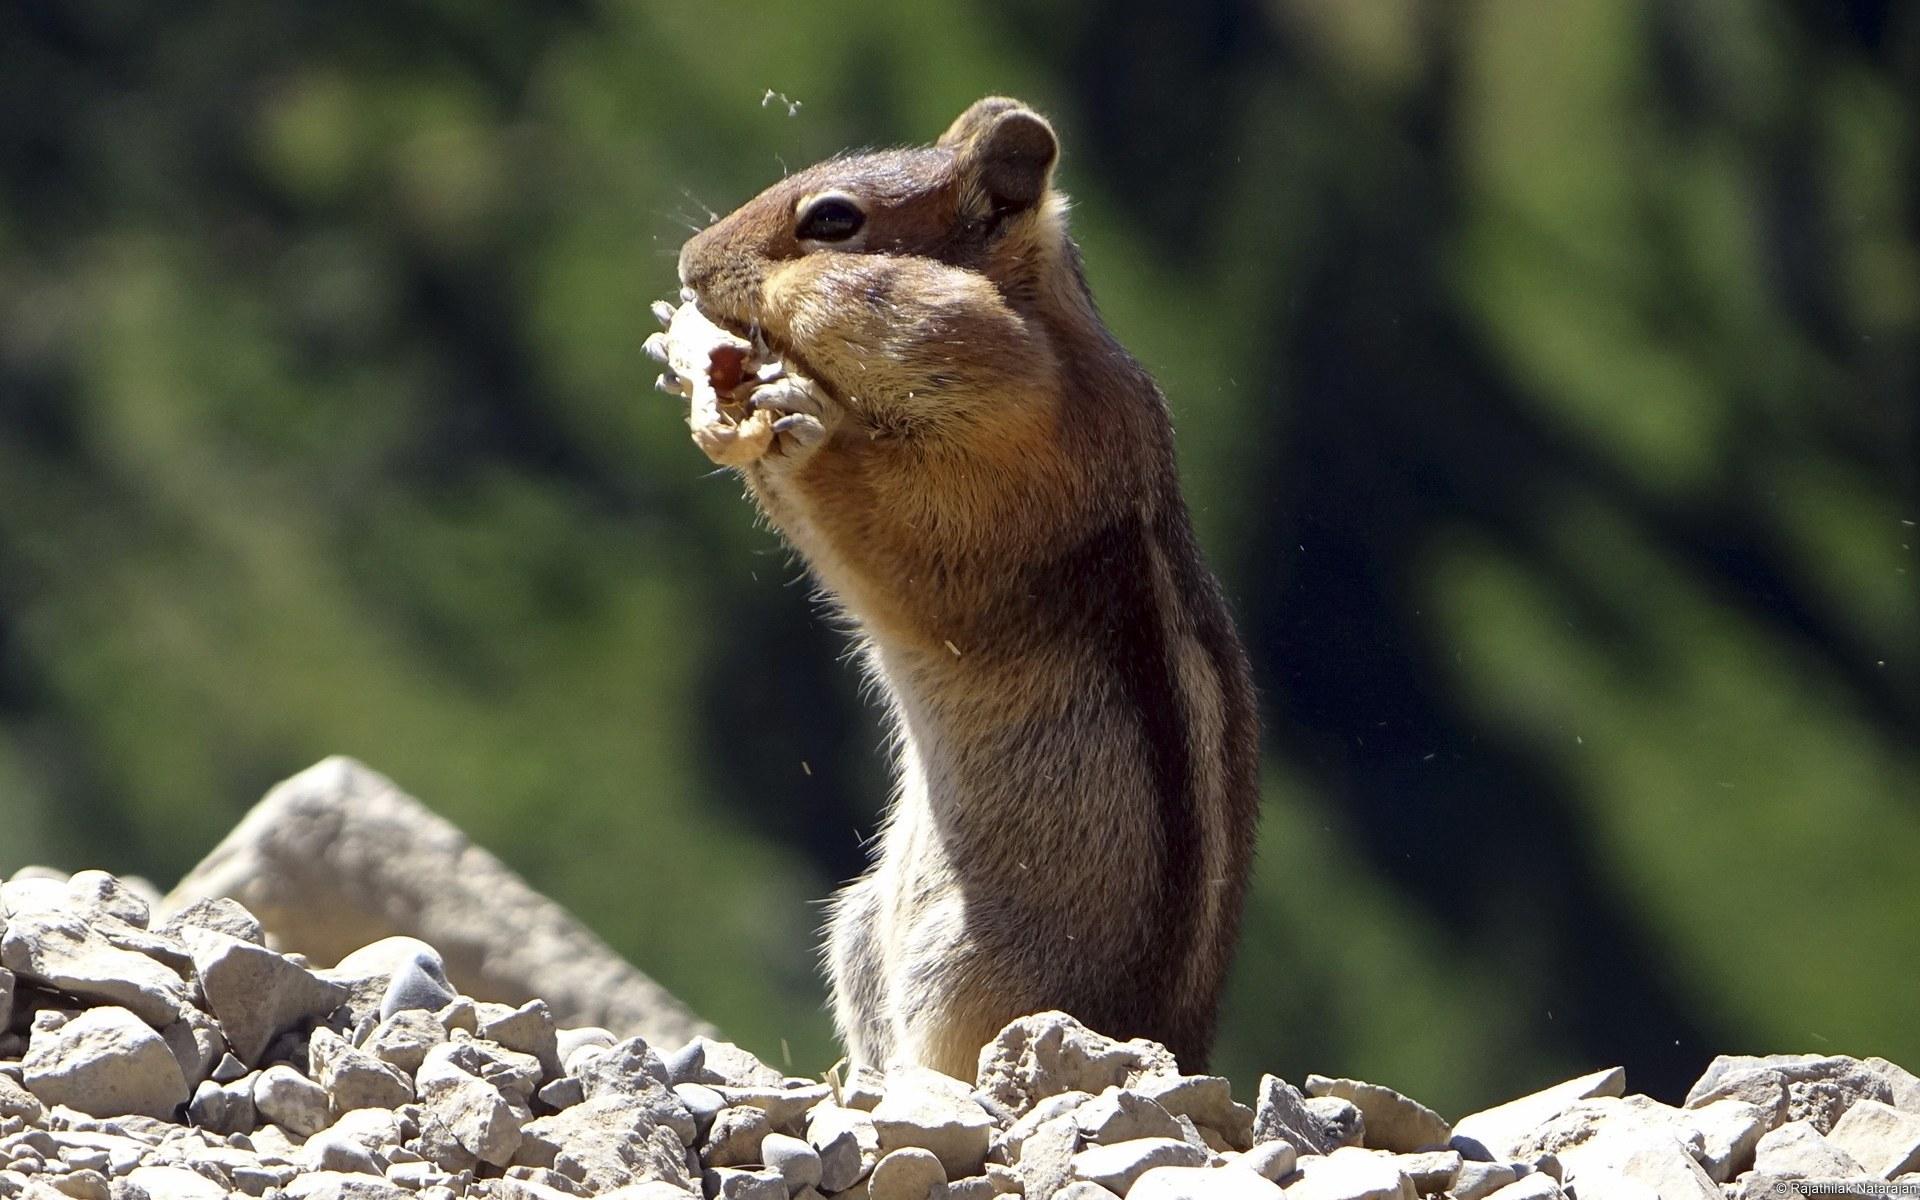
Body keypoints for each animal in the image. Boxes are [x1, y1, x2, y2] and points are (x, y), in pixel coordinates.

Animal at [660, 98, 1259, 1075]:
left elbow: (908, 537)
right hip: (863, 927)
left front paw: (796, 421)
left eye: (834, 222)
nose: (689, 264)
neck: (1045, 346)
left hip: (970, 967)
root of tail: (1183, 1051)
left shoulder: (1018, 464)